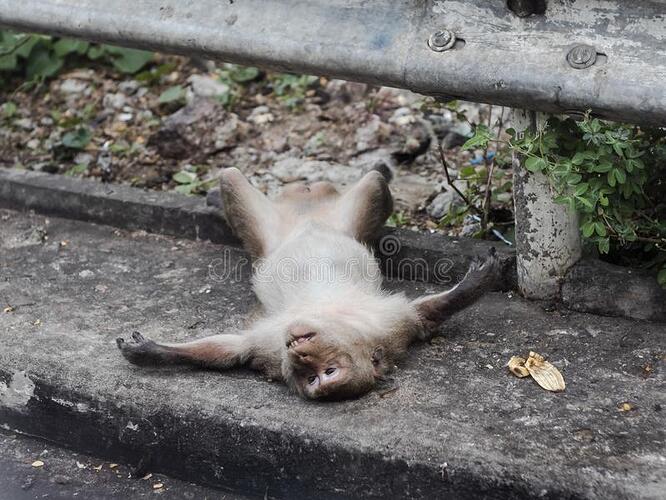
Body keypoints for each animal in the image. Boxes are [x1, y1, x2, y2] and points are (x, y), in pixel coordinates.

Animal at [115, 168, 498, 402]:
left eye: (321, 375)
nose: (298, 350)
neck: (331, 318)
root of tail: (309, 204)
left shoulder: (278, 349)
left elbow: (237, 349)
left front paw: (152, 352)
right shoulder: (379, 322)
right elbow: (421, 312)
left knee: (372, 184)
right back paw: (215, 199)